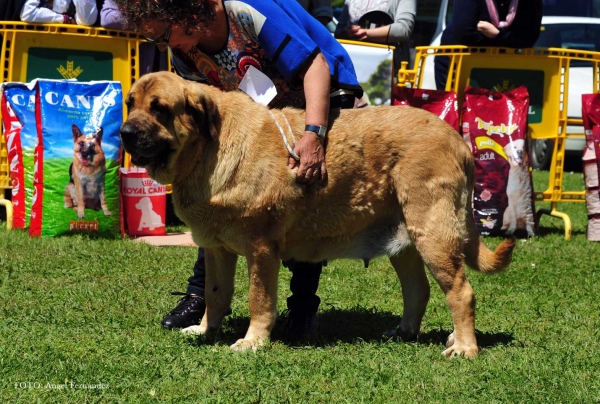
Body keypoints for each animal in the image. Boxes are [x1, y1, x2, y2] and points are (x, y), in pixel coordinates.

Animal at [119, 71, 512, 358]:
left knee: (461, 292)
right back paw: (405, 333)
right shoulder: (216, 249)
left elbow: (258, 299)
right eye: (130, 104)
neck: (209, 149)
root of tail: (459, 141)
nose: (124, 132)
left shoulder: (261, 249)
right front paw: (204, 330)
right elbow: (215, 294)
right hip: (406, 242)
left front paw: (252, 341)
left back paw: (464, 347)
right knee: (419, 290)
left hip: (433, 234)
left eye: (160, 109)